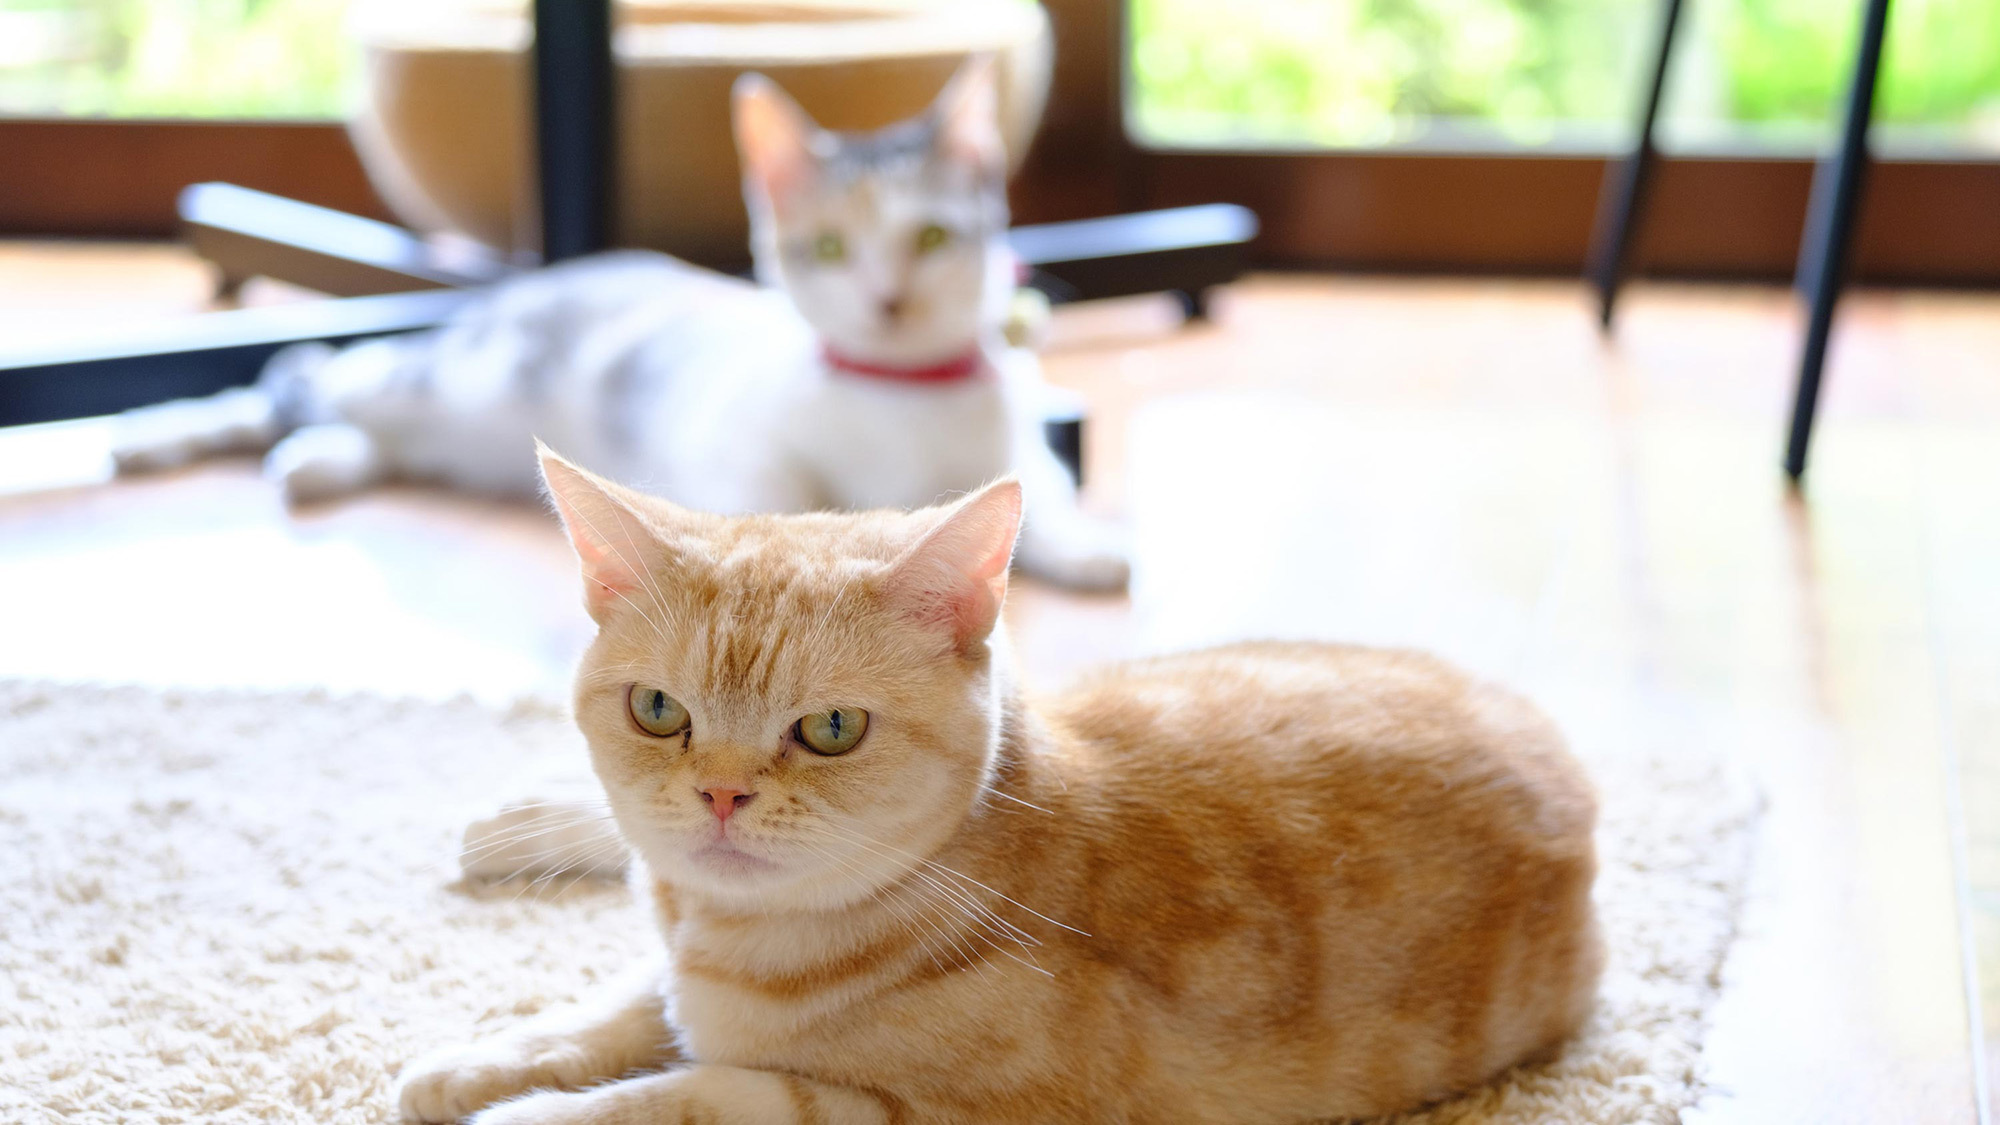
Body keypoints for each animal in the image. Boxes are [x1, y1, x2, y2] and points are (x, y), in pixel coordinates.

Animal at [117, 61, 1128, 588]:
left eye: (931, 237)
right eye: (832, 248)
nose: (888, 299)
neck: (904, 398)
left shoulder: (1015, 447)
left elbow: (1040, 493)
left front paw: (1086, 549)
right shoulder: (740, 445)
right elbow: (782, 497)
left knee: (371, 432)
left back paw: (322, 459)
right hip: (444, 377)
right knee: (302, 372)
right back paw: (162, 434)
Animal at [398, 442, 1600, 1112]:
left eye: (830, 728)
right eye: (659, 712)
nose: (721, 794)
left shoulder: (899, 1113)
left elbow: (681, 1088)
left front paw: (512, 1110)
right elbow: (613, 1004)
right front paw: (473, 1060)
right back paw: (516, 827)